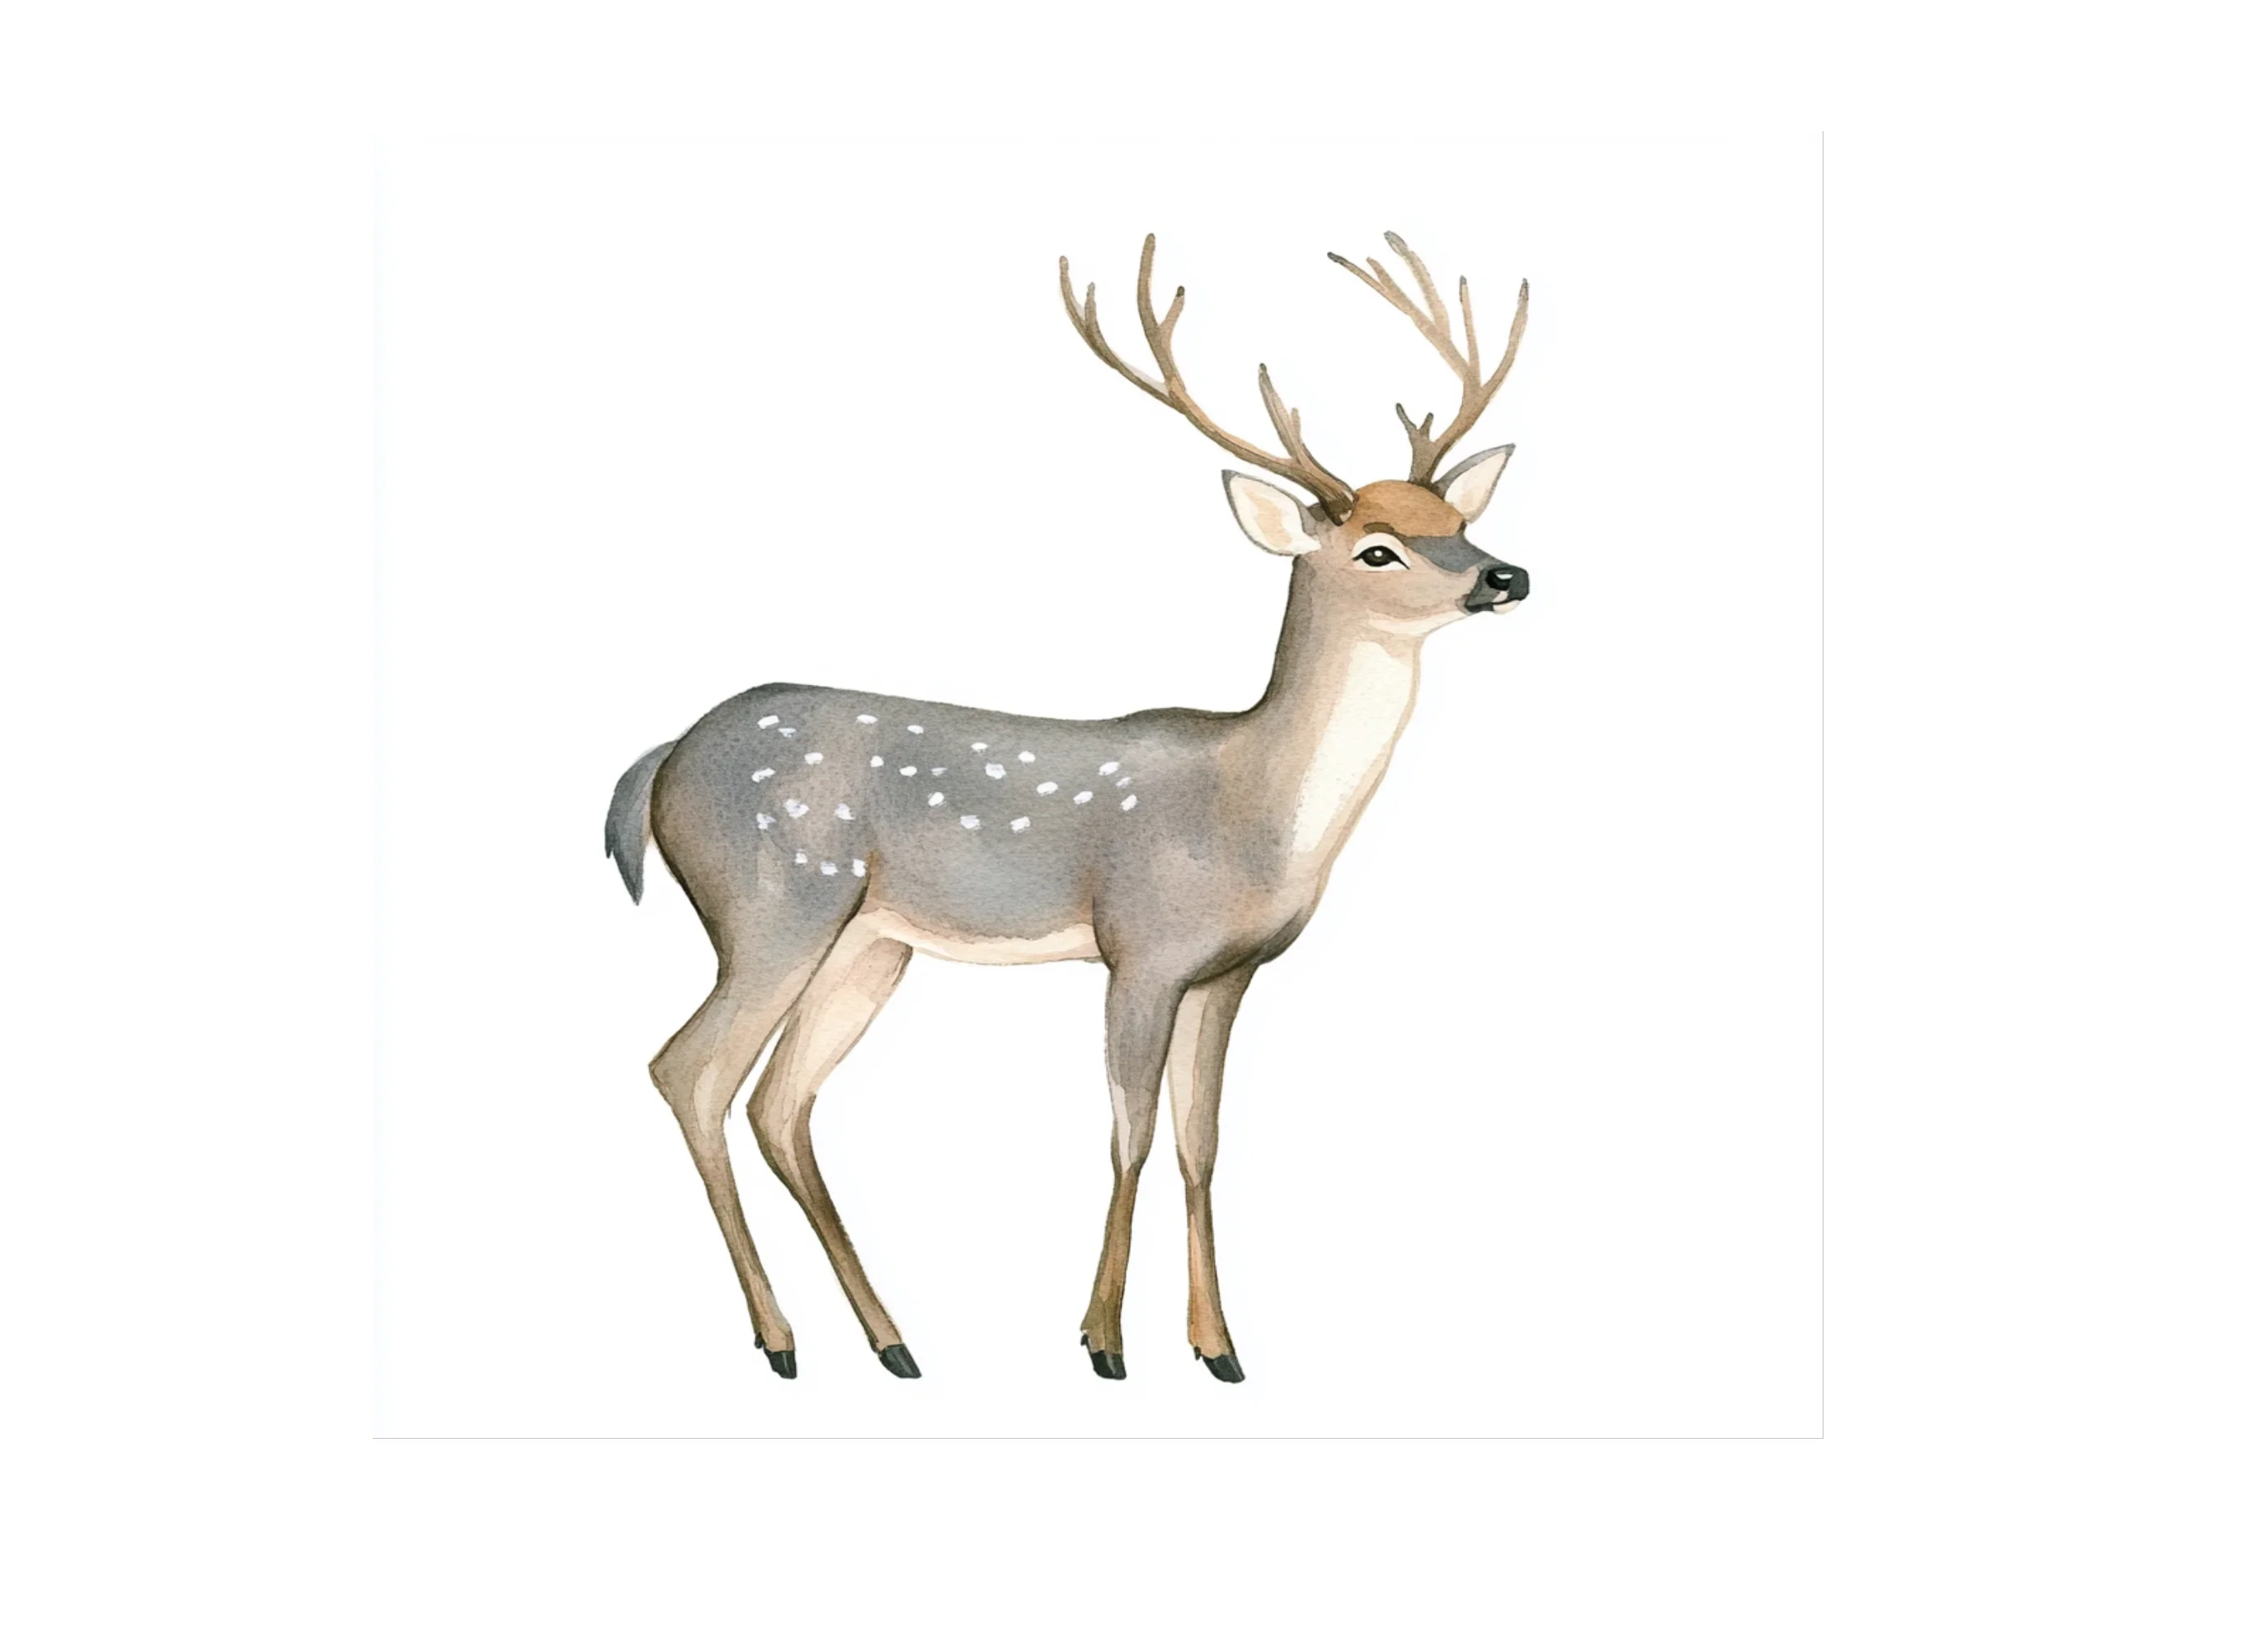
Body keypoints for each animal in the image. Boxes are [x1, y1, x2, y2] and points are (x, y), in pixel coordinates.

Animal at [606, 232, 1530, 1382]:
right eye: (1376, 546)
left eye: (1458, 519)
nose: (1506, 576)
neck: (1255, 810)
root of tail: (661, 762)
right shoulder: (1140, 946)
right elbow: (1126, 1134)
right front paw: (1102, 1340)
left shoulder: (1225, 974)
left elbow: (1200, 1145)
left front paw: (1218, 1347)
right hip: (772, 902)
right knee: (688, 1069)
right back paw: (780, 1341)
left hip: (868, 942)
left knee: (780, 1101)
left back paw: (892, 1339)